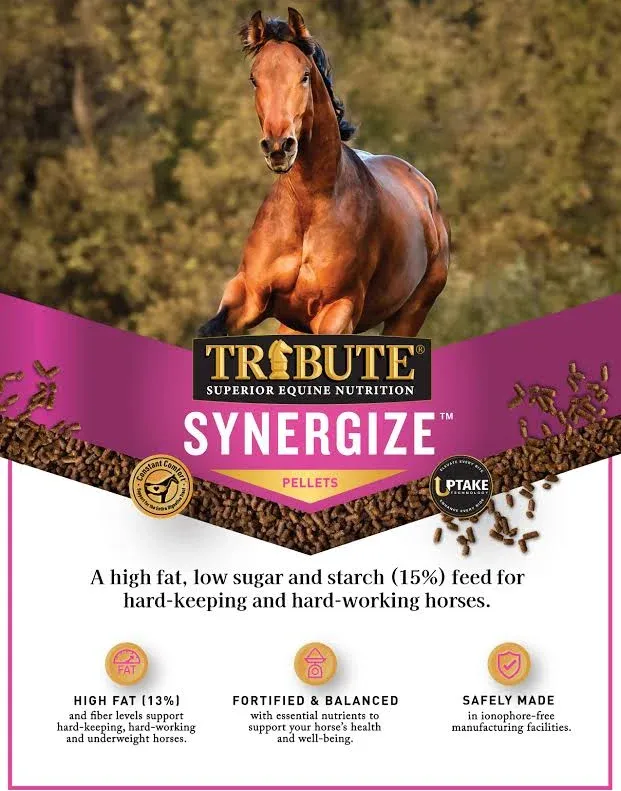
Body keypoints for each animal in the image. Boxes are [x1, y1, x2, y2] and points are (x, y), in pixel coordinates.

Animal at [198, 7, 449, 338]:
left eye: (304, 75)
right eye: (254, 79)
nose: (278, 147)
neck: (308, 207)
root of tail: (425, 191)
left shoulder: (337, 310)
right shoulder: (248, 296)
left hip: (409, 315)